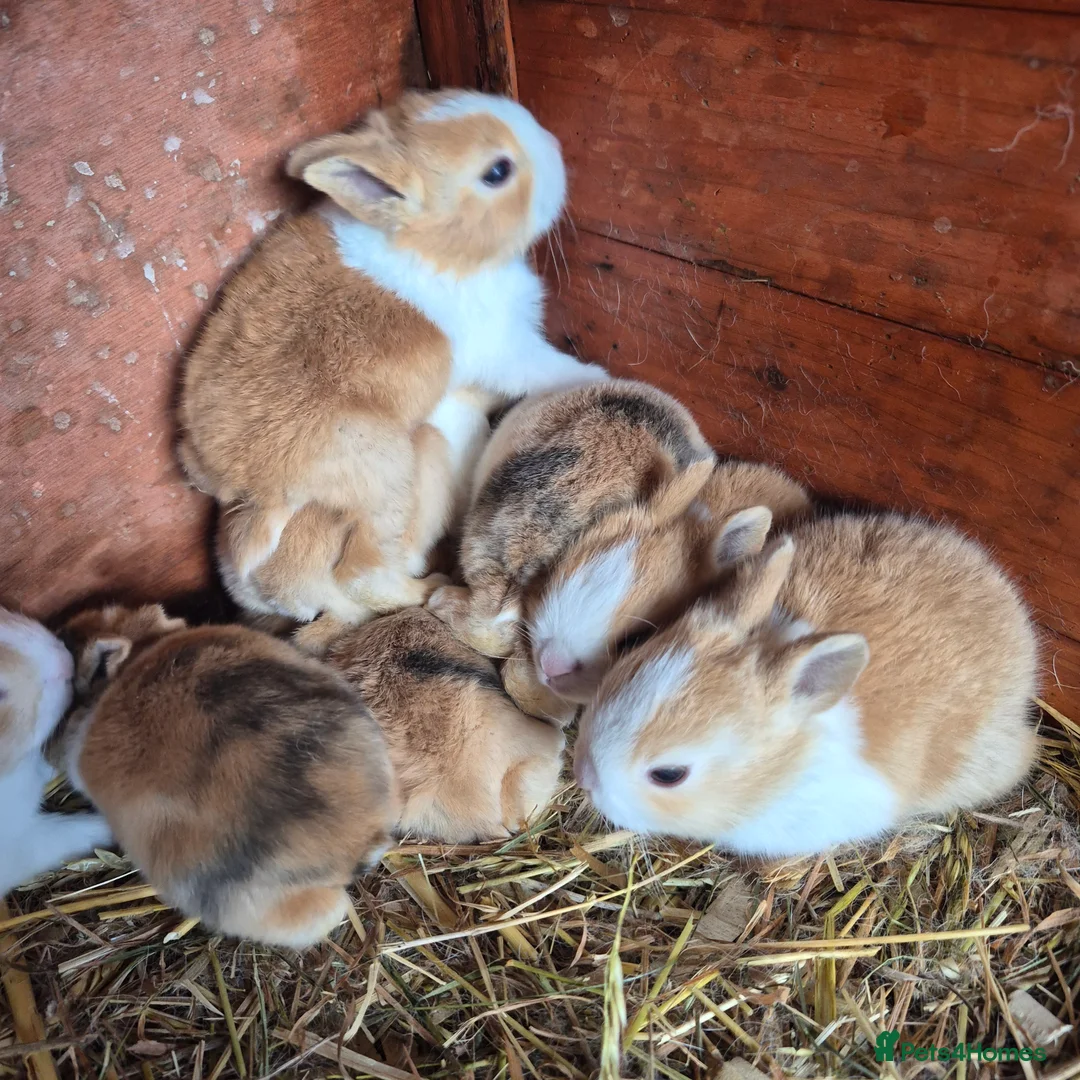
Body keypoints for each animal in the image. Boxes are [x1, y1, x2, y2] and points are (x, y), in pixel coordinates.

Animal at [177, 88, 606, 600]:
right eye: (497, 172)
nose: (556, 146)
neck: (434, 245)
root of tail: (245, 491)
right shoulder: (508, 349)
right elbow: (548, 369)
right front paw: (600, 377)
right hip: (389, 467)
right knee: (366, 568)